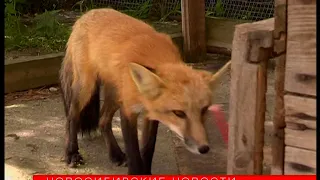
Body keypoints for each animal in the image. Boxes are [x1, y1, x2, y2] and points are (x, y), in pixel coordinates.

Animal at [60, 8, 230, 174]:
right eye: (179, 113)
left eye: (204, 109)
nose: (204, 148)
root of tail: (85, 15)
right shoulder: (128, 110)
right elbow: (134, 153)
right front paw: (136, 171)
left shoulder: (151, 112)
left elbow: (148, 148)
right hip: (86, 88)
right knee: (72, 116)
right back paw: (71, 153)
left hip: (115, 94)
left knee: (102, 119)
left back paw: (115, 154)